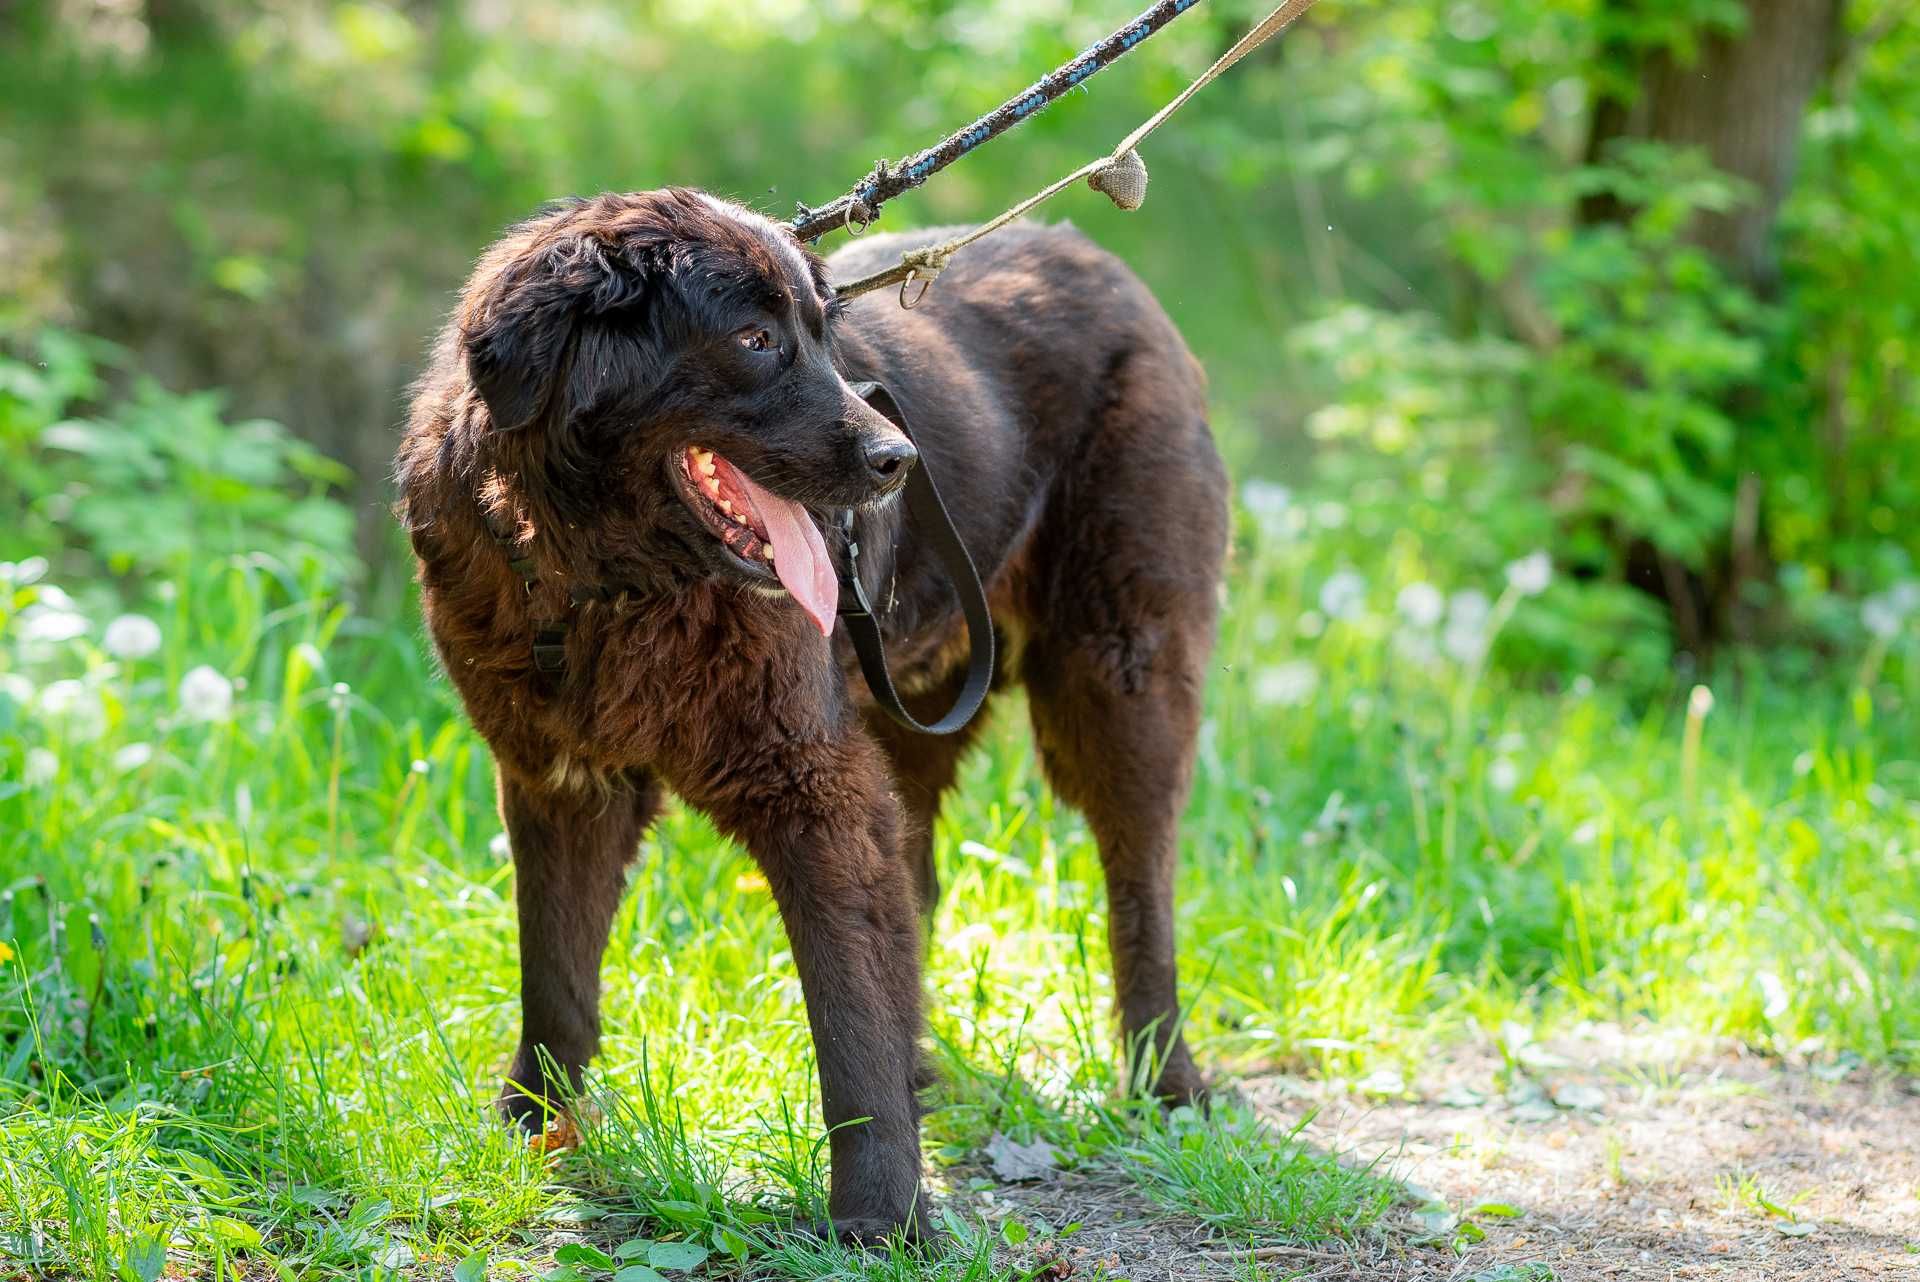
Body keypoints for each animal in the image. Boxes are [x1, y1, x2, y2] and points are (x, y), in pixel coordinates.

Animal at [395, 185, 1221, 1235]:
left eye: (823, 338)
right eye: (755, 340)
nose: (899, 459)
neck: (606, 584)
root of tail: (1101, 262)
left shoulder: (810, 782)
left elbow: (848, 1009)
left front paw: (880, 1216)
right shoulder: (561, 781)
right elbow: (555, 977)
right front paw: (534, 1134)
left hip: (1118, 682)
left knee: (1140, 887)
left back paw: (1167, 1083)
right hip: (912, 713)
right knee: (920, 883)